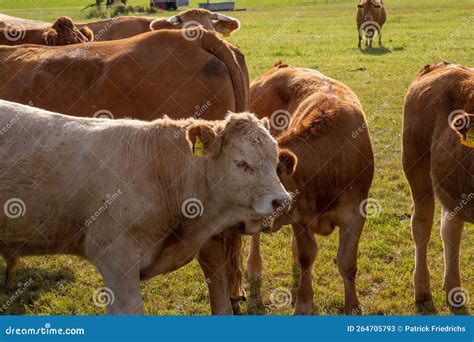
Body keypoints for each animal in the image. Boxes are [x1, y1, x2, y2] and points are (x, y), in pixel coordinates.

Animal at [402, 62, 472, 310]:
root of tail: (441, 65)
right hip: (416, 166)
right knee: (421, 224)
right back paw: (422, 289)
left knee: (450, 228)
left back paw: (453, 289)